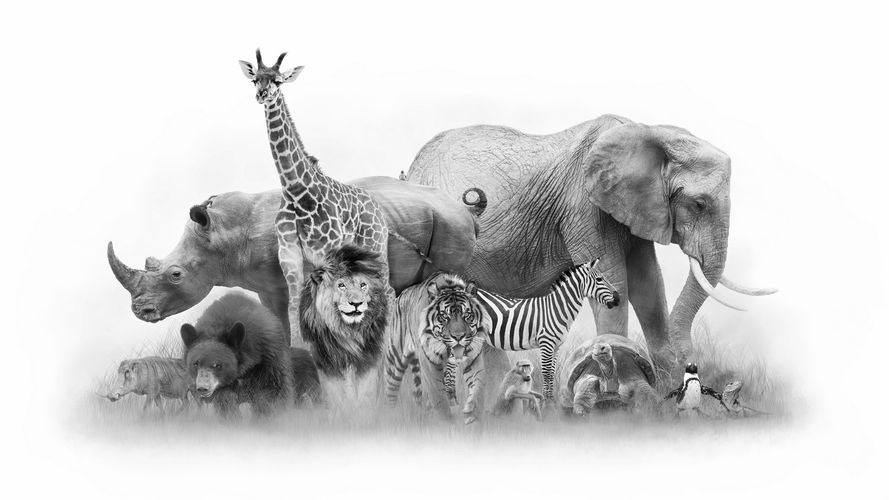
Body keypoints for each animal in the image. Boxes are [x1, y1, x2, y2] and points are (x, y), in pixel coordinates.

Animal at [108, 176, 485, 343]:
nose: (141, 312)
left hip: (450, 223)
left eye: (176, 274)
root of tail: (463, 207)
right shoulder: (267, 287)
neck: (222, 235)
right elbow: (277, 324)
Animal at [407, 114, 774, 376]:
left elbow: (648, 285)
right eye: (698, 204)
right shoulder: (583, 206)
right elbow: (618, 283)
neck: (648, 133)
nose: (692, 368)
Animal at [470, 258, 620, 402]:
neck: (557, 309)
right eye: (599, 279)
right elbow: (546, 372)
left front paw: (550, 400)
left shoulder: (556, 346)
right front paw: (547, 403)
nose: (618, 298)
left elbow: (552, 372)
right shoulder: (546, 343)